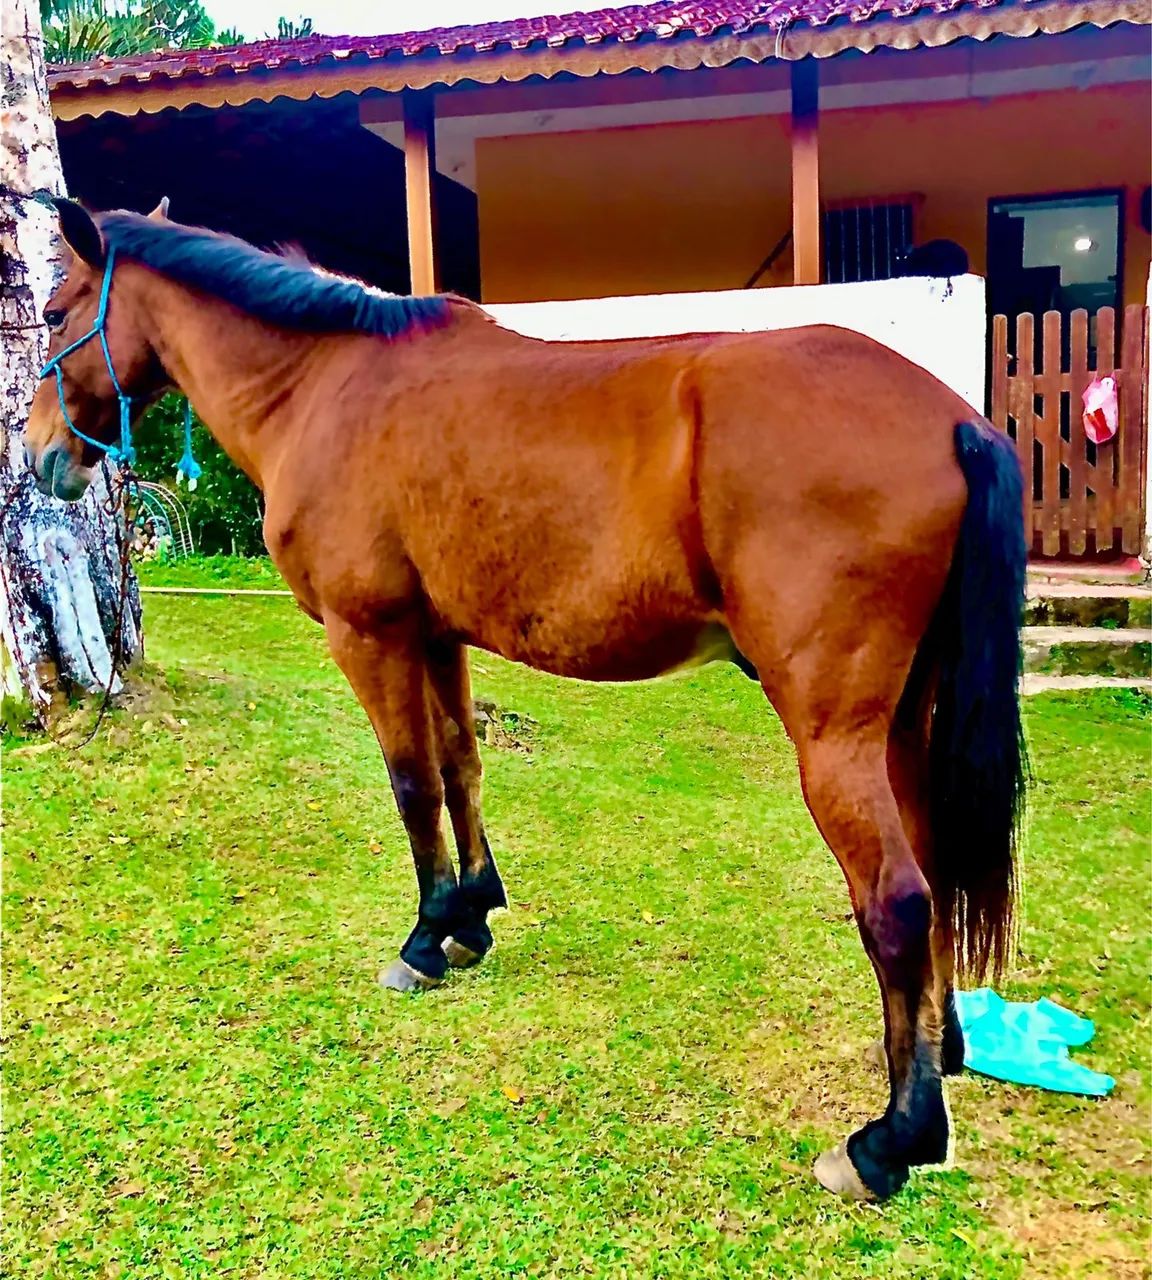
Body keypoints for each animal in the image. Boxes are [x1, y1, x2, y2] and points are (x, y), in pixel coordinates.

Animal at [25, 199, 1027, 1203]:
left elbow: (411, 785)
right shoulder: (434, 637)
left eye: (52, 312)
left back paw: (893, 1138)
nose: (39, 460)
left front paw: (425, 938)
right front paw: (469, 917)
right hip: (901, 726)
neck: (325, 388)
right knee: (935, 869)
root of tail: (950, 419)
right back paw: (940, 1050)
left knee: (897, 901)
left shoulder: (369, 636)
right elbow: (460, 769)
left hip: (833, 734)